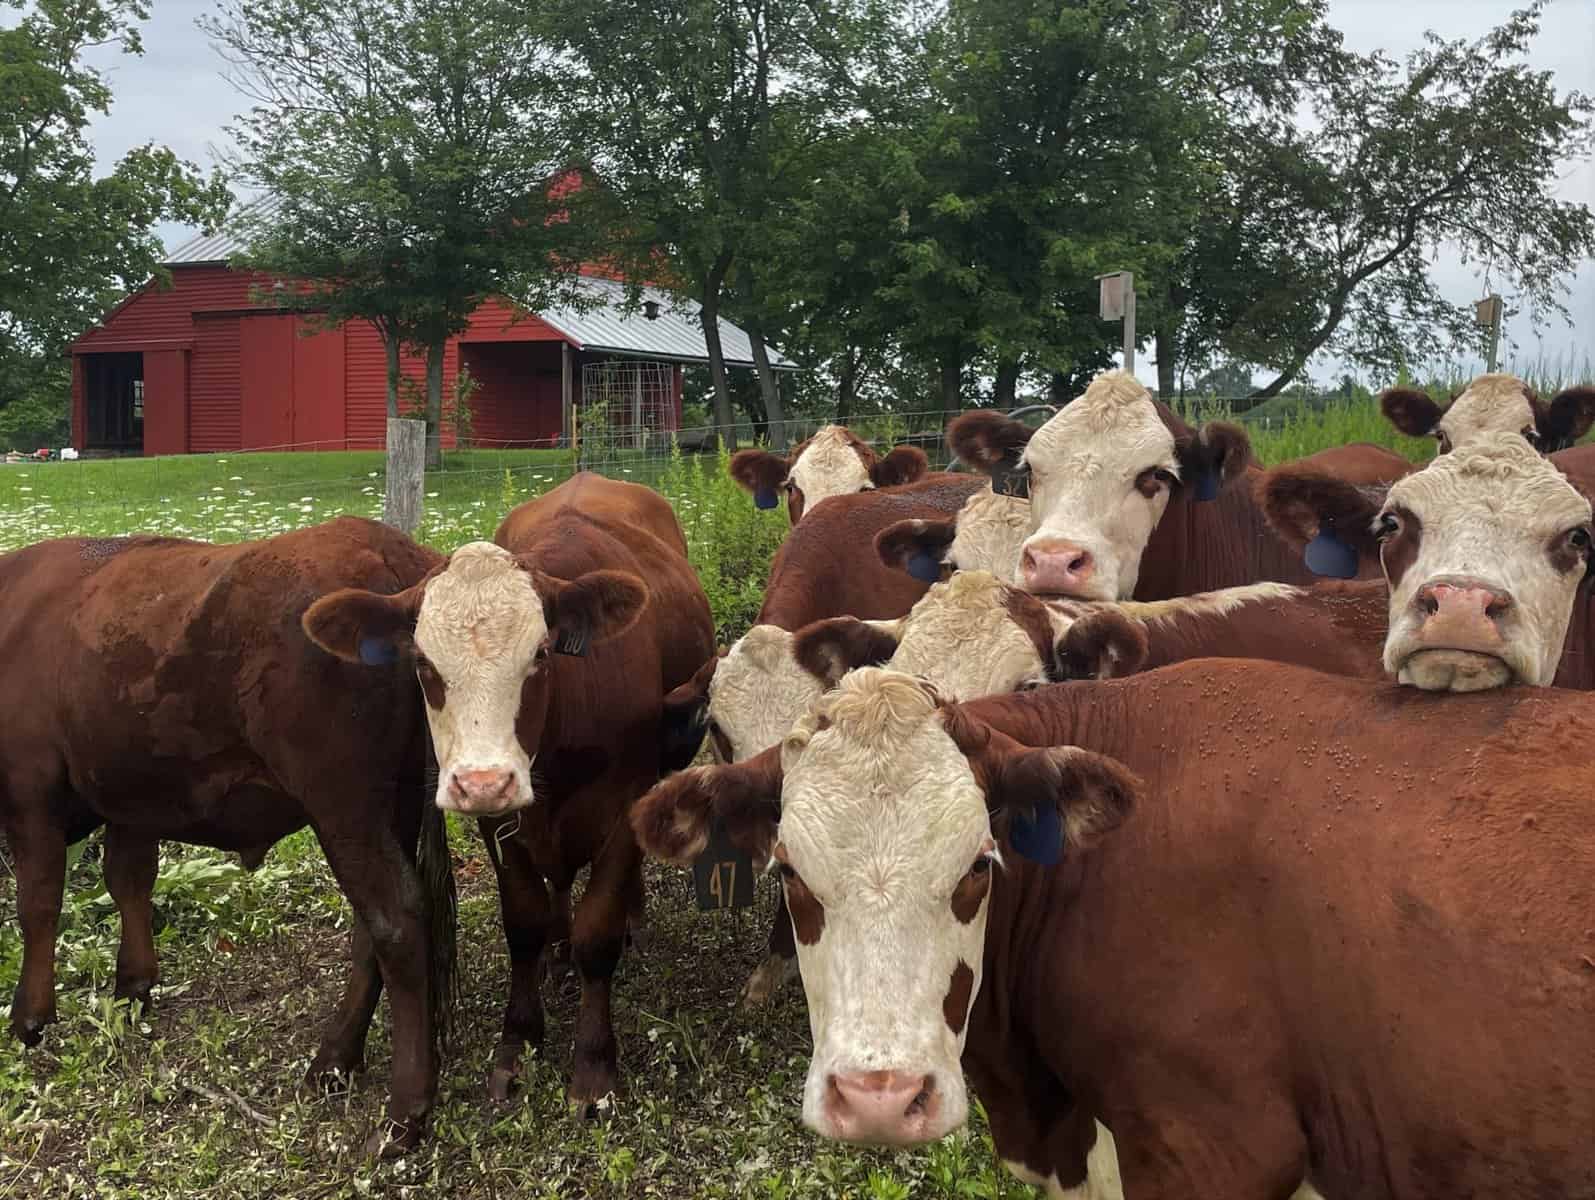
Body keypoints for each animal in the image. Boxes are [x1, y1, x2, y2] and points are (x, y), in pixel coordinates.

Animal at [303, 472, 711, 1110]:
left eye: (540, 654)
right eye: (423, 662)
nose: (483, 781)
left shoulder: (624, 803)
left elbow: (599, 933)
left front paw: (594, 1065)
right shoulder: (500, 824)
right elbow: (523, 922)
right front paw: (517, 1043)